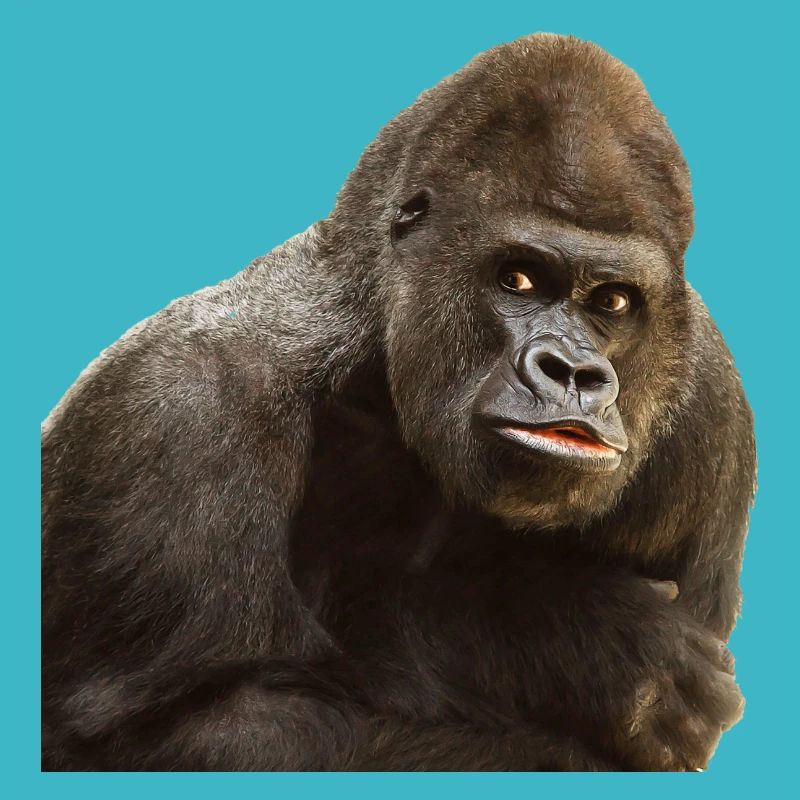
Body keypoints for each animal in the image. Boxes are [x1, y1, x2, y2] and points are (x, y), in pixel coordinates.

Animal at [41, 33, 755, 771]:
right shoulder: (178, 409)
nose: (574, 373)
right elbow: (167, 732)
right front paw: (567, 638)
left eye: (613, 301)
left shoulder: (710, 410)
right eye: (518, 279)